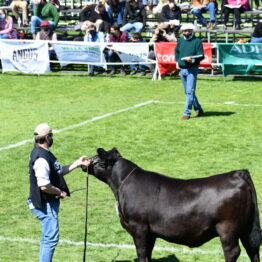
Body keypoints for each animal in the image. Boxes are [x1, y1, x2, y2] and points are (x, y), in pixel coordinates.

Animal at [84, 148, 262, 260]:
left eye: (97, 159)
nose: (85, 162)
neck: (121, 185)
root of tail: (237, 173)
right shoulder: (150, 232)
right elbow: (148, 254)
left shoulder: (138, 227)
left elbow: (141, 253)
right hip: (246, 227)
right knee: (252, 248)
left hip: (227, 227)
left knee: (232, 251)